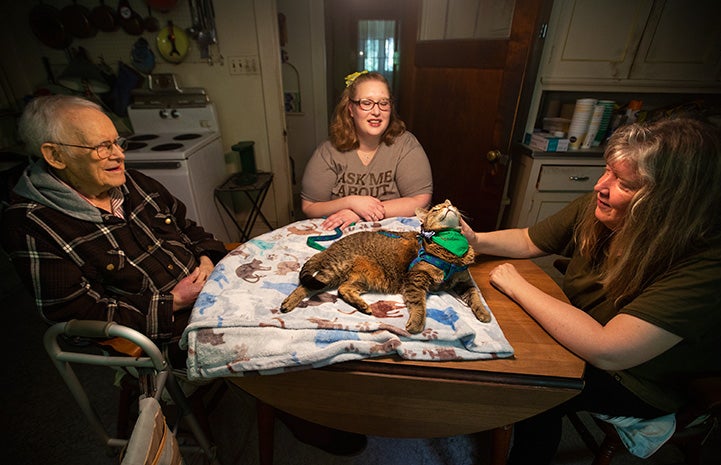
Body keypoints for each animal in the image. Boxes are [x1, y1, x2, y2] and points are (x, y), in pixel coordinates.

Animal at [278, 199, 492, 334]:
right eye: (435, 209)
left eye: (451, 205)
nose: (448, 206)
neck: (451, 249)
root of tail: (331, 247)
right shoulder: (415, 279)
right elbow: (418, 303)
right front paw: (417, 323)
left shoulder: (464, 282)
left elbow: (475, 296)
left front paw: (483, 313)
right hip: (333, 271)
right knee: (305, 285)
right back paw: (288, 303)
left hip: (362, 279)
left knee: (343, 289)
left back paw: (363, 306)